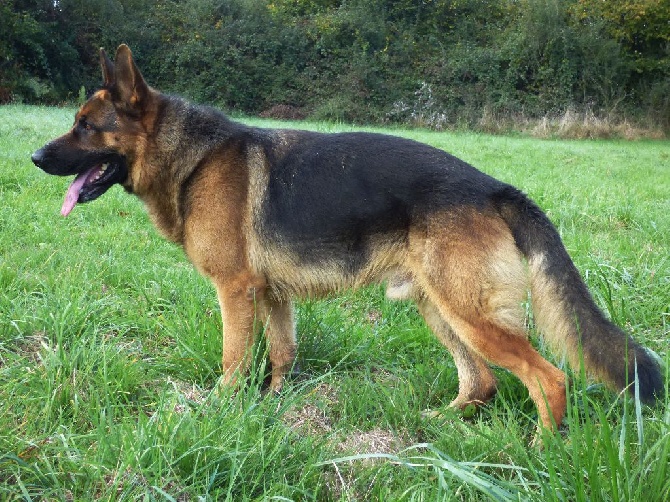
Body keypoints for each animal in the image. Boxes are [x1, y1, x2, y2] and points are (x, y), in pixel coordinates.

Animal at [32, 45, 668, 434]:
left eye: (86, 127)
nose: (34, 157)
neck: (191, 157)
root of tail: (496, 189)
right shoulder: (272, 296)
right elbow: (282, 355)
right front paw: (271, 409)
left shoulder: (235, 292)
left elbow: (234, 360)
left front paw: (220, 411)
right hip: (440, 309)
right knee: (482, 381)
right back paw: (443, 426)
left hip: (469, 314)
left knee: (548, 378)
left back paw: (539, 449)